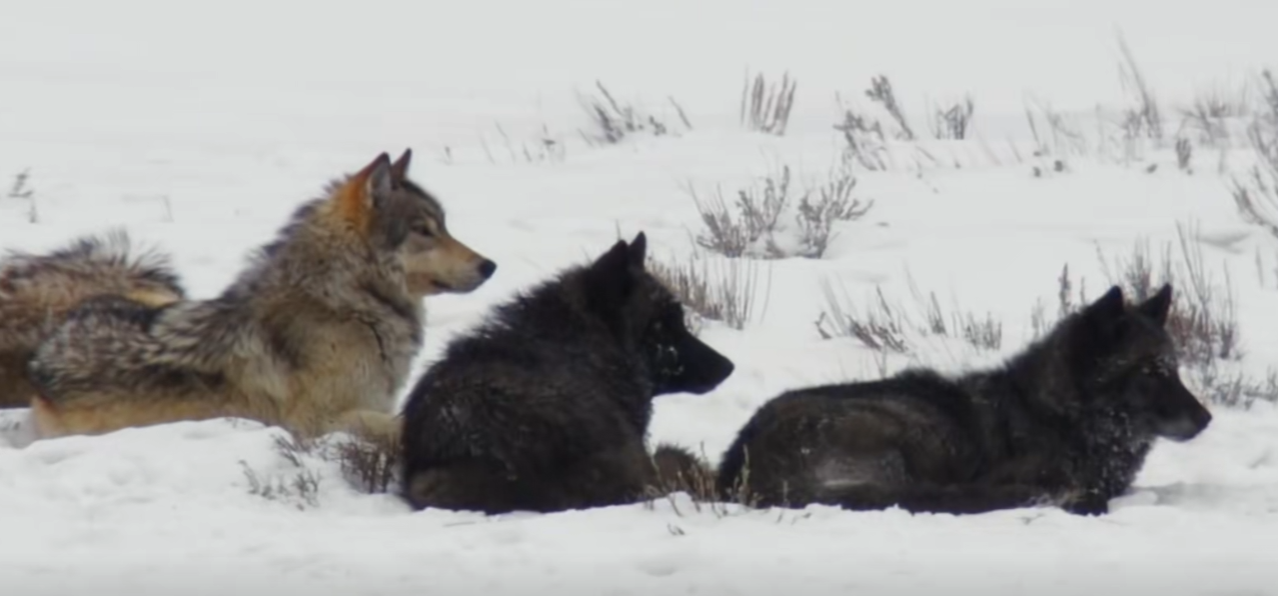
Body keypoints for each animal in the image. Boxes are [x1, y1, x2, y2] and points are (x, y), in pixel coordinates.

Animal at [26, 149, 493, 445]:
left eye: (444, 226)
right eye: (423, 230)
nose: (490, 265)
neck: (348, 304)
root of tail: (44, 353)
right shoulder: (316, 422)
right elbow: (394, 425)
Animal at [720, 281, 1206, 514]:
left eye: (1175, 368)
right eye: (1150, 372)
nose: (1206, 419)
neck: (1057, 415)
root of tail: (741, 456)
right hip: (907, 432)